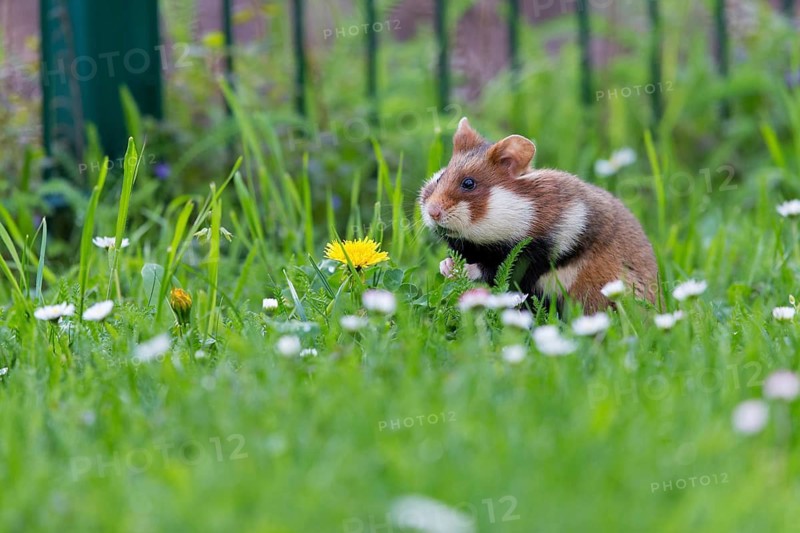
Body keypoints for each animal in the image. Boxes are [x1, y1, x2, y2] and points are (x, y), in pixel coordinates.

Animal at [419, 117, 658, 313]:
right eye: (440, 178)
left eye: (469, 183)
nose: (433, 212)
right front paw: (445, 265)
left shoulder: (536, 253)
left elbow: (491, 269)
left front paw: (457, 269)